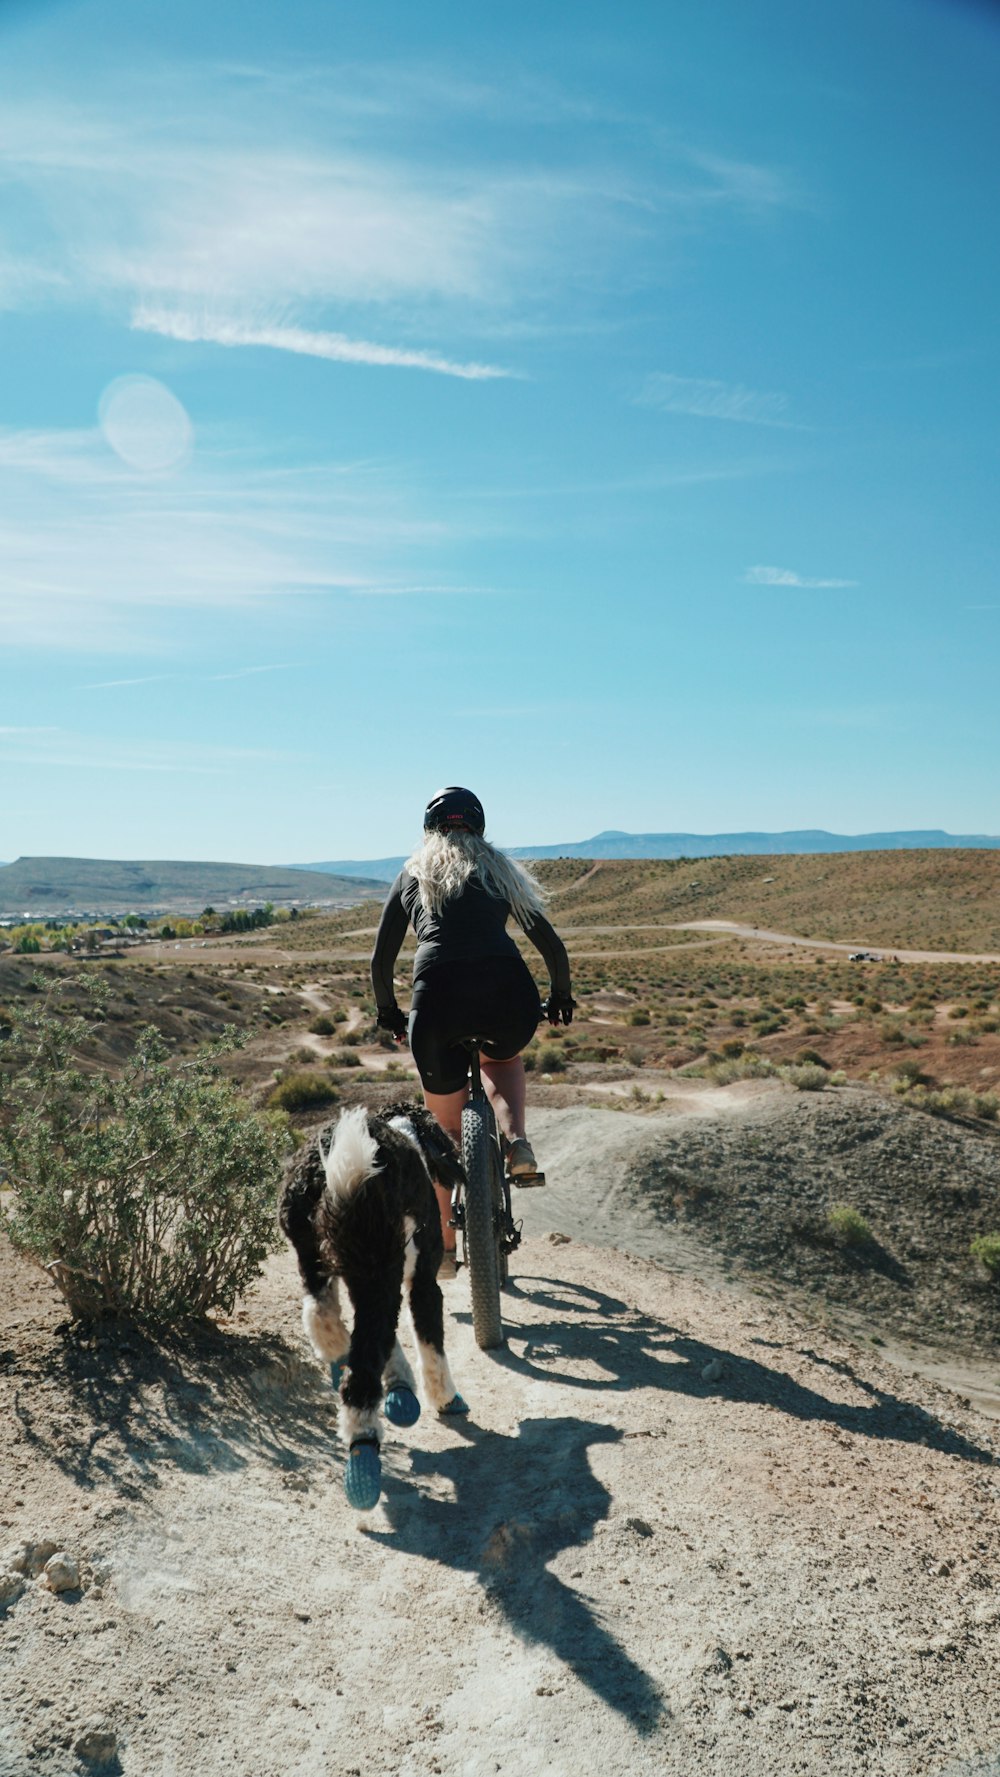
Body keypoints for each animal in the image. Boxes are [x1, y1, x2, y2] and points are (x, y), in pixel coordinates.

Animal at [277, 1101, 468, 1506]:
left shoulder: (365, 1278)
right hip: (378, 1264)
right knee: (362, 1368)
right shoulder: (421, 1282)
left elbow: (391, 1339)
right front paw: (445, 1397)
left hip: (316, 1257)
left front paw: (401, 1391)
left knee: (322, 1316)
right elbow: (430, 1343)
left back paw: (338, 1356)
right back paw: (362, 1455)